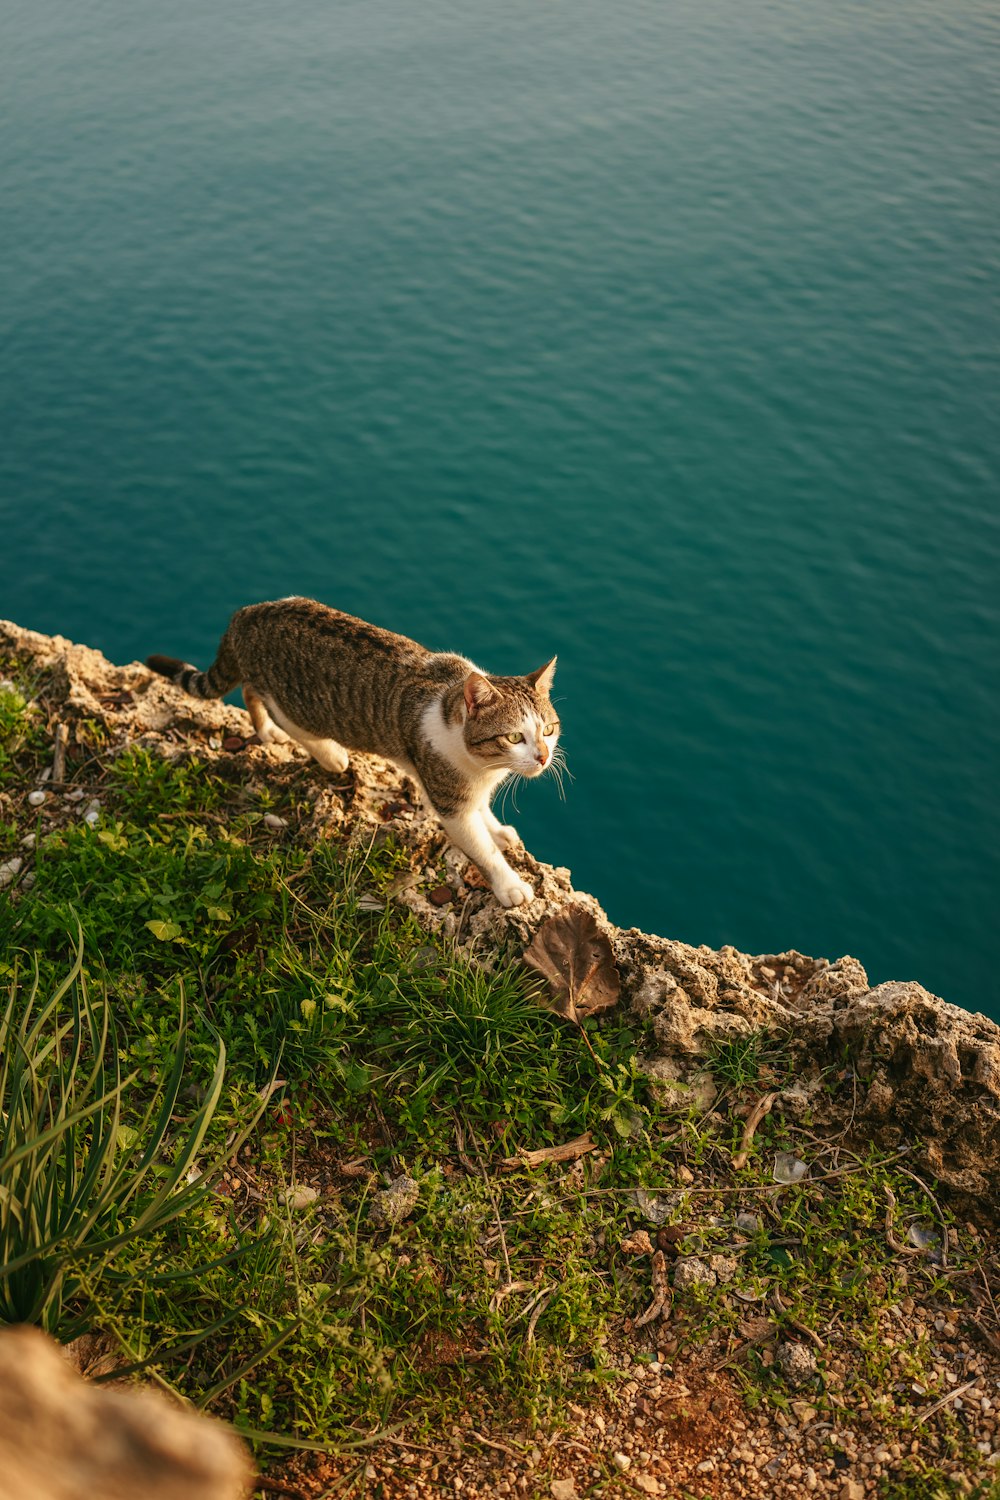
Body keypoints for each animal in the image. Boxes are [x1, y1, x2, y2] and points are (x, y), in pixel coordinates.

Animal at [146, 594, 563, 900]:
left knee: (250, 688)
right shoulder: (447, 797)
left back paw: (265, 731)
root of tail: (245, 615)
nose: (543, 757)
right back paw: (330, 755)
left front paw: (497, 829)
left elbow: (482, 812)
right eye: (514, 737)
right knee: (284, 715)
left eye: (548, 730)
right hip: (298, 706)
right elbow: (480, 848)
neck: (482, 766)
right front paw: (510, 886)